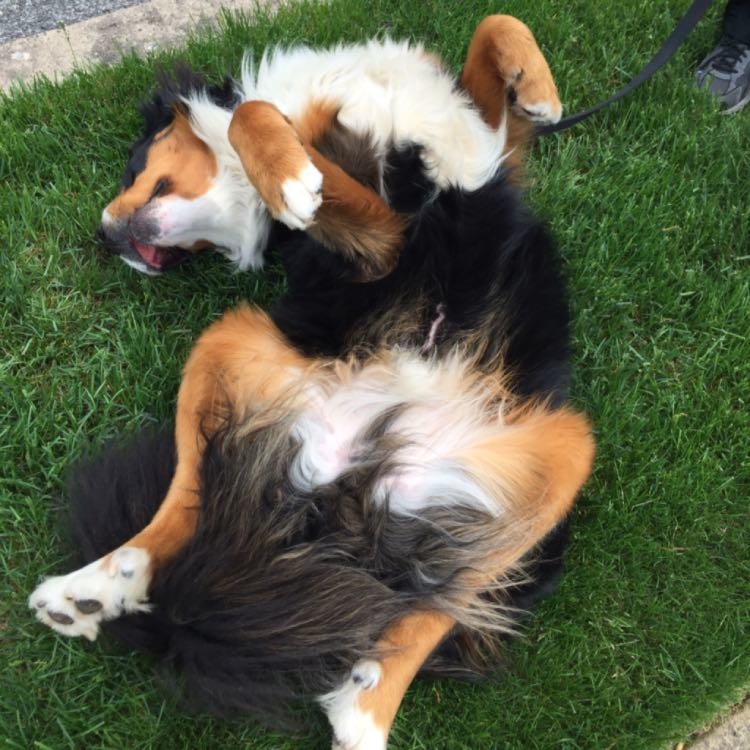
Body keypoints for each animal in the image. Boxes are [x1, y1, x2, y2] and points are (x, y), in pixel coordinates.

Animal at [27, 13, 592, 750]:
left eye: (130, 164)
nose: (106, 238)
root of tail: (346, 468)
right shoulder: (383, 238)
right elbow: (262, 126)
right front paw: (292, 178)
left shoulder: (484, 152)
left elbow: (494, 33)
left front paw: (536, 87)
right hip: (228, 337)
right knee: (186, 501)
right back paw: (93, 588)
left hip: (565, 449)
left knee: (440, 599)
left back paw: (364, 710)